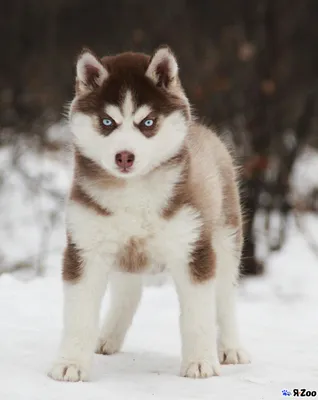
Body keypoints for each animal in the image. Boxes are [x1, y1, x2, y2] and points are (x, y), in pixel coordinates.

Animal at [48, 46, 250, 382]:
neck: (133, 191)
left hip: (225, 240)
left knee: (224, 298)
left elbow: (198, 314)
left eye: (148, 122)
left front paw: (200, 363)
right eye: (107, 122)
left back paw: (232, 348)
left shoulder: (192, 250)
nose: (124, 156)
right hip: (123, 255)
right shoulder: (86, 248)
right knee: (128, 293)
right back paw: (107, 337)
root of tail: (206, 132)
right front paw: (71, 364)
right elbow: (79, 315)